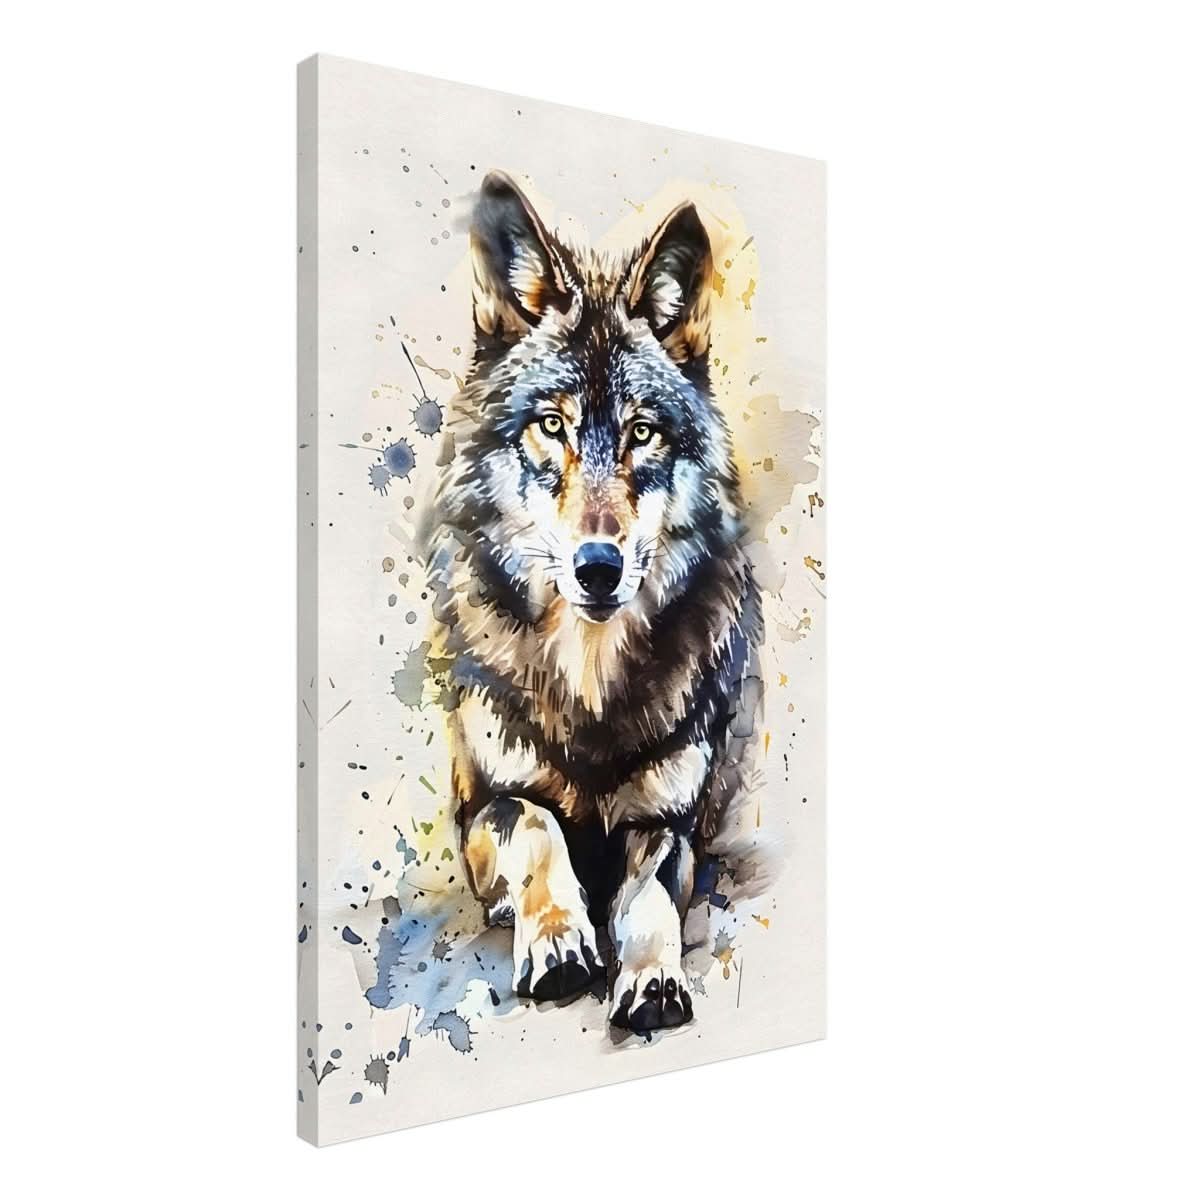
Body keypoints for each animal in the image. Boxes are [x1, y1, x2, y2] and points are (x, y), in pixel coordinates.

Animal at [424, 171, 762, 1032]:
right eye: (553, 425)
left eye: (643, 433)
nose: (599, 568)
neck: (588, 687)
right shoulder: (486, 807)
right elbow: (539, 829)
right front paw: (557, 940)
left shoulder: (667, 822)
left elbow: (648, 903)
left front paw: (650, 980)